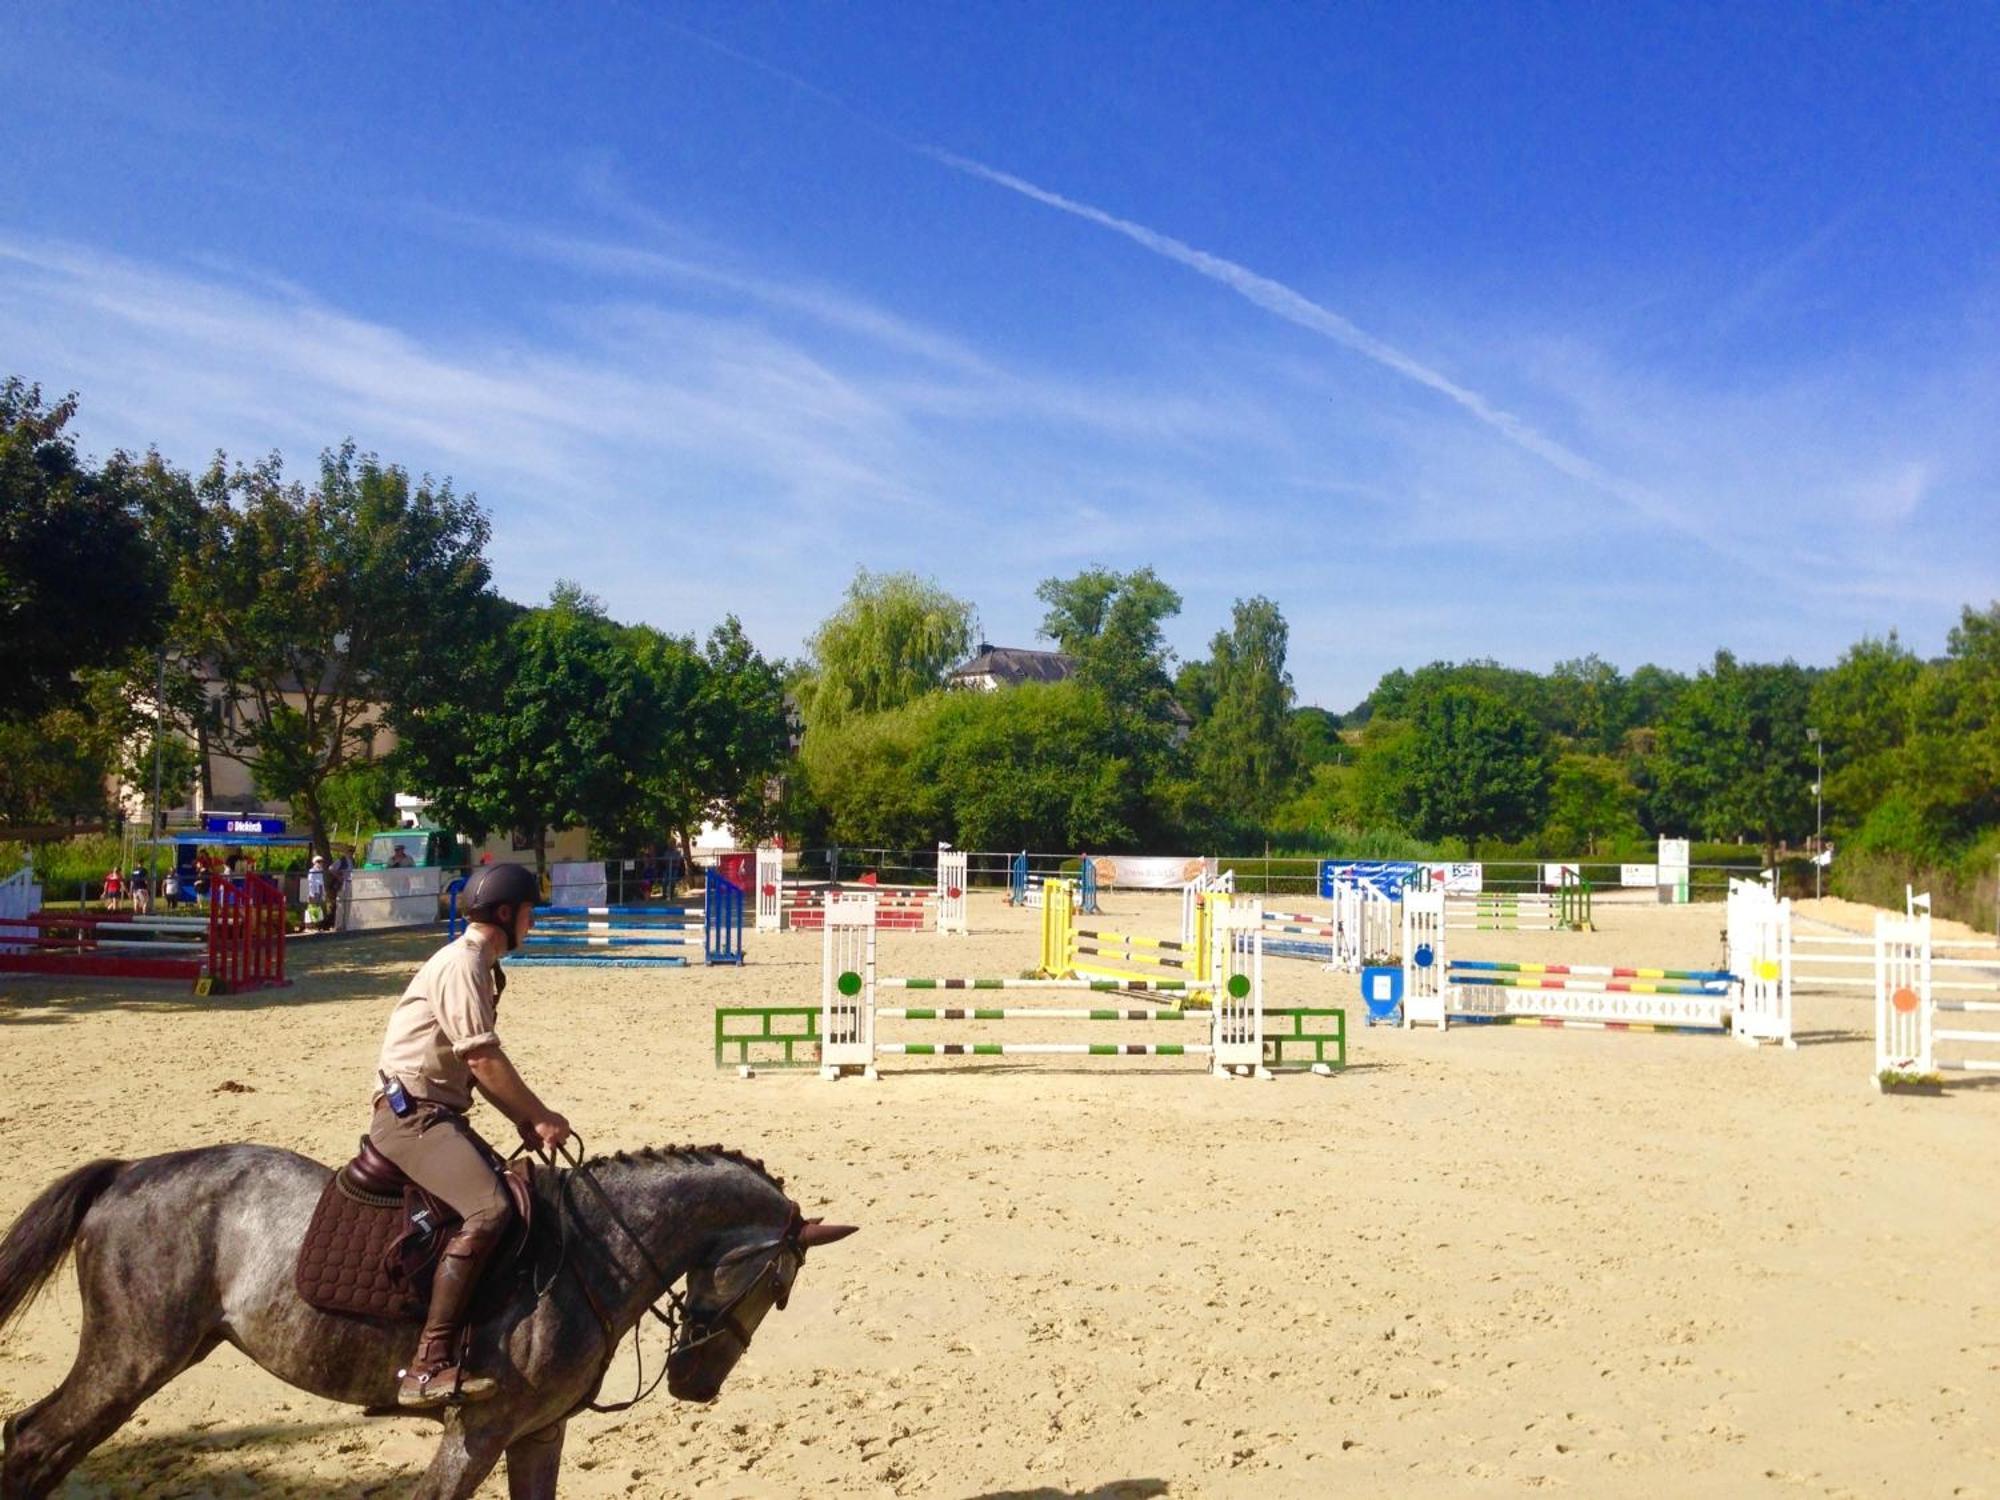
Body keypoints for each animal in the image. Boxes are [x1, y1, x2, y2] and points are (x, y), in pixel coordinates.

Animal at [0, 1144, 852, 1496]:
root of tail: (127, 1173)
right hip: (132, 1358)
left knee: (48, 1447)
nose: (696, 1387)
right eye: (778, 1287)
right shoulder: (479, 1428)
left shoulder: (537, 1434)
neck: (597, 1251)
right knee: (35, 1441)